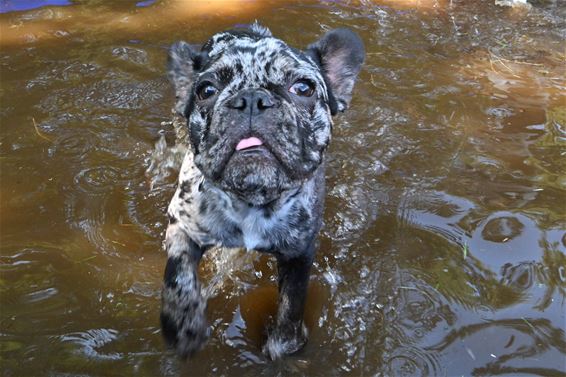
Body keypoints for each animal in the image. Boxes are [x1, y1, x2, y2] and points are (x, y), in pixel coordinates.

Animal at [161, 21, 364, 358]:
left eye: (303, 88)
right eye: (206, 90)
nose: (252, 99)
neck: (252, 198)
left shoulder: (299, 253)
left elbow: (292, 303)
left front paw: (284, 343)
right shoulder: (183, 226)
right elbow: (179, 273)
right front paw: (182, 324)